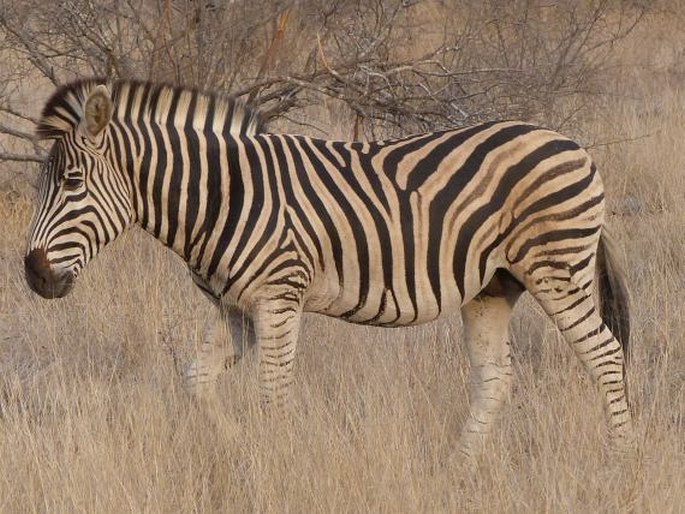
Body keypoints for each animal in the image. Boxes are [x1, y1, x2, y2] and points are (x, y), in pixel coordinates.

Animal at [24, 78, 632, 458]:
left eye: (73, 183)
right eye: (40, 184)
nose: (34, 275)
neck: (221, 196)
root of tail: (572, 144)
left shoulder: (278, 297)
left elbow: (273, 394)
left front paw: (277, 466)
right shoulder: (234, 308)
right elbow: (197, 381)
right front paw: (240, 449)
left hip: (556, 268)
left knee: (604, 355)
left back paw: (621, 459)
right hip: (492, 287)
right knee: (496, 379)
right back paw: (457, 470)